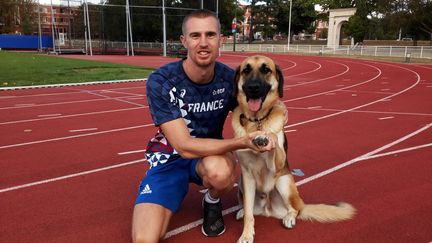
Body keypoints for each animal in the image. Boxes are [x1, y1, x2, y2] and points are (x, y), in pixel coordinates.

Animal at [231, 55, 356, 243]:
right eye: (246, 70)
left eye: (266, 69)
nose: (253, 88)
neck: (258, 120)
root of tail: (268, 209)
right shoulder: (246, 175)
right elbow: (249, 215)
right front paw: (246, 234)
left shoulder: (277, 163)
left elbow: (274, 137)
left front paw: (265, 137)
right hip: (242, 185)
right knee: (250, 210)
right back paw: (241, 211)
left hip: (284, 183)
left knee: (296, 209)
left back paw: (289, 217)